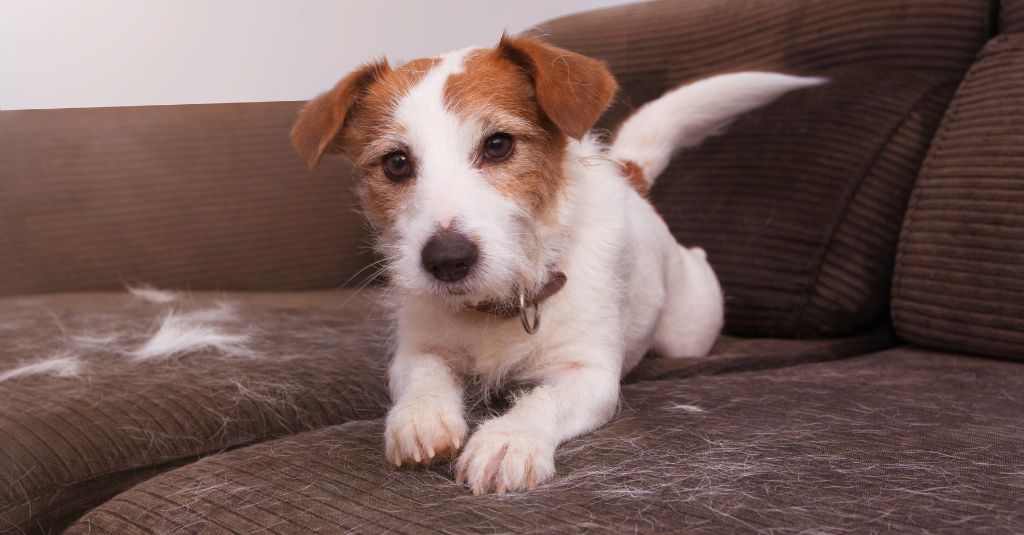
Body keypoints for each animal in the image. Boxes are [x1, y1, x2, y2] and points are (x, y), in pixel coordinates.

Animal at [290, 33, 823, 491]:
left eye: (498, 144)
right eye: (396, 163)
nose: (447, 260)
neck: (499, 304)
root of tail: (629, 175)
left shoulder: (590, 375)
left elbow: (543, 400)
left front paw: (508, 439)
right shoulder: (418, 350)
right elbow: (423, 376)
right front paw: (421, 416)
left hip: (689, 331)